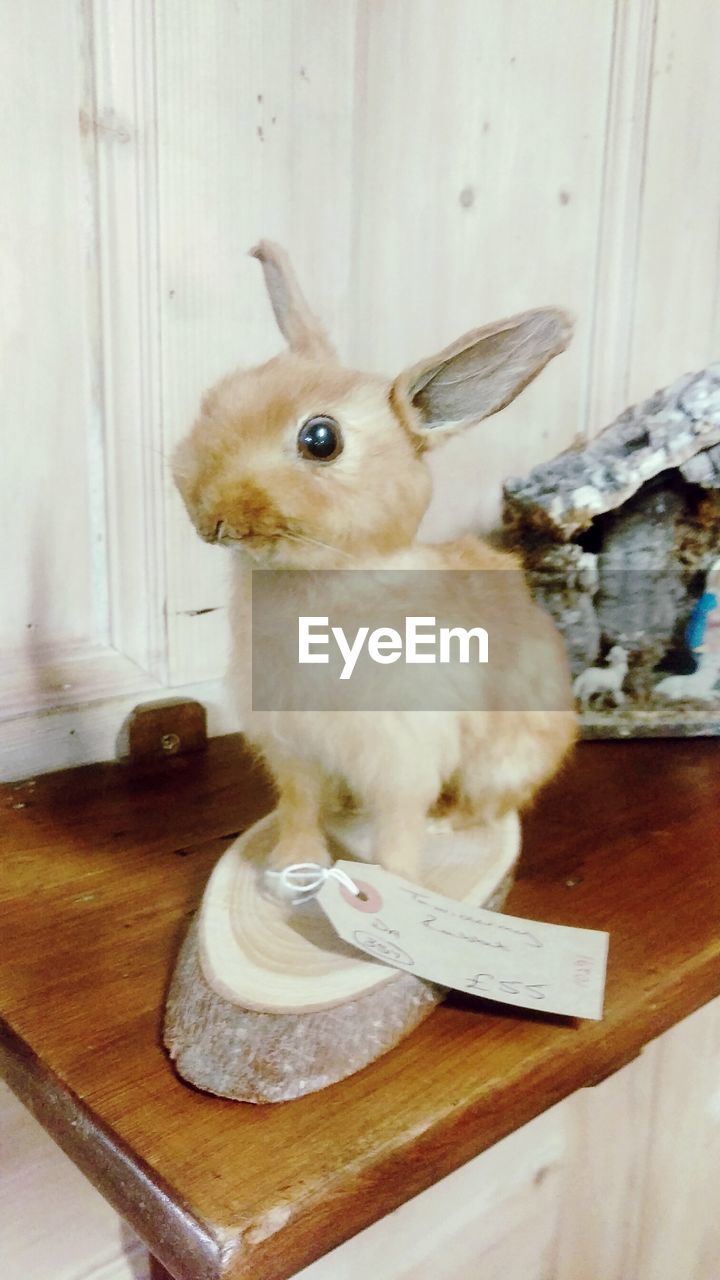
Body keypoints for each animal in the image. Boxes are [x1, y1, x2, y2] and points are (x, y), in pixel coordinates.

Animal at [172, 238, 571, 880]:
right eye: (214, 402)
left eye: (321, 440)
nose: (212, 517)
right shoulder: (292, 747)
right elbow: (299, 805)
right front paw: (293, 863)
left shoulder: (402, 756)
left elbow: (397, 833)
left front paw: (396, 883)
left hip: (502, 759)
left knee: (485, 808)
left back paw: (448, 823)